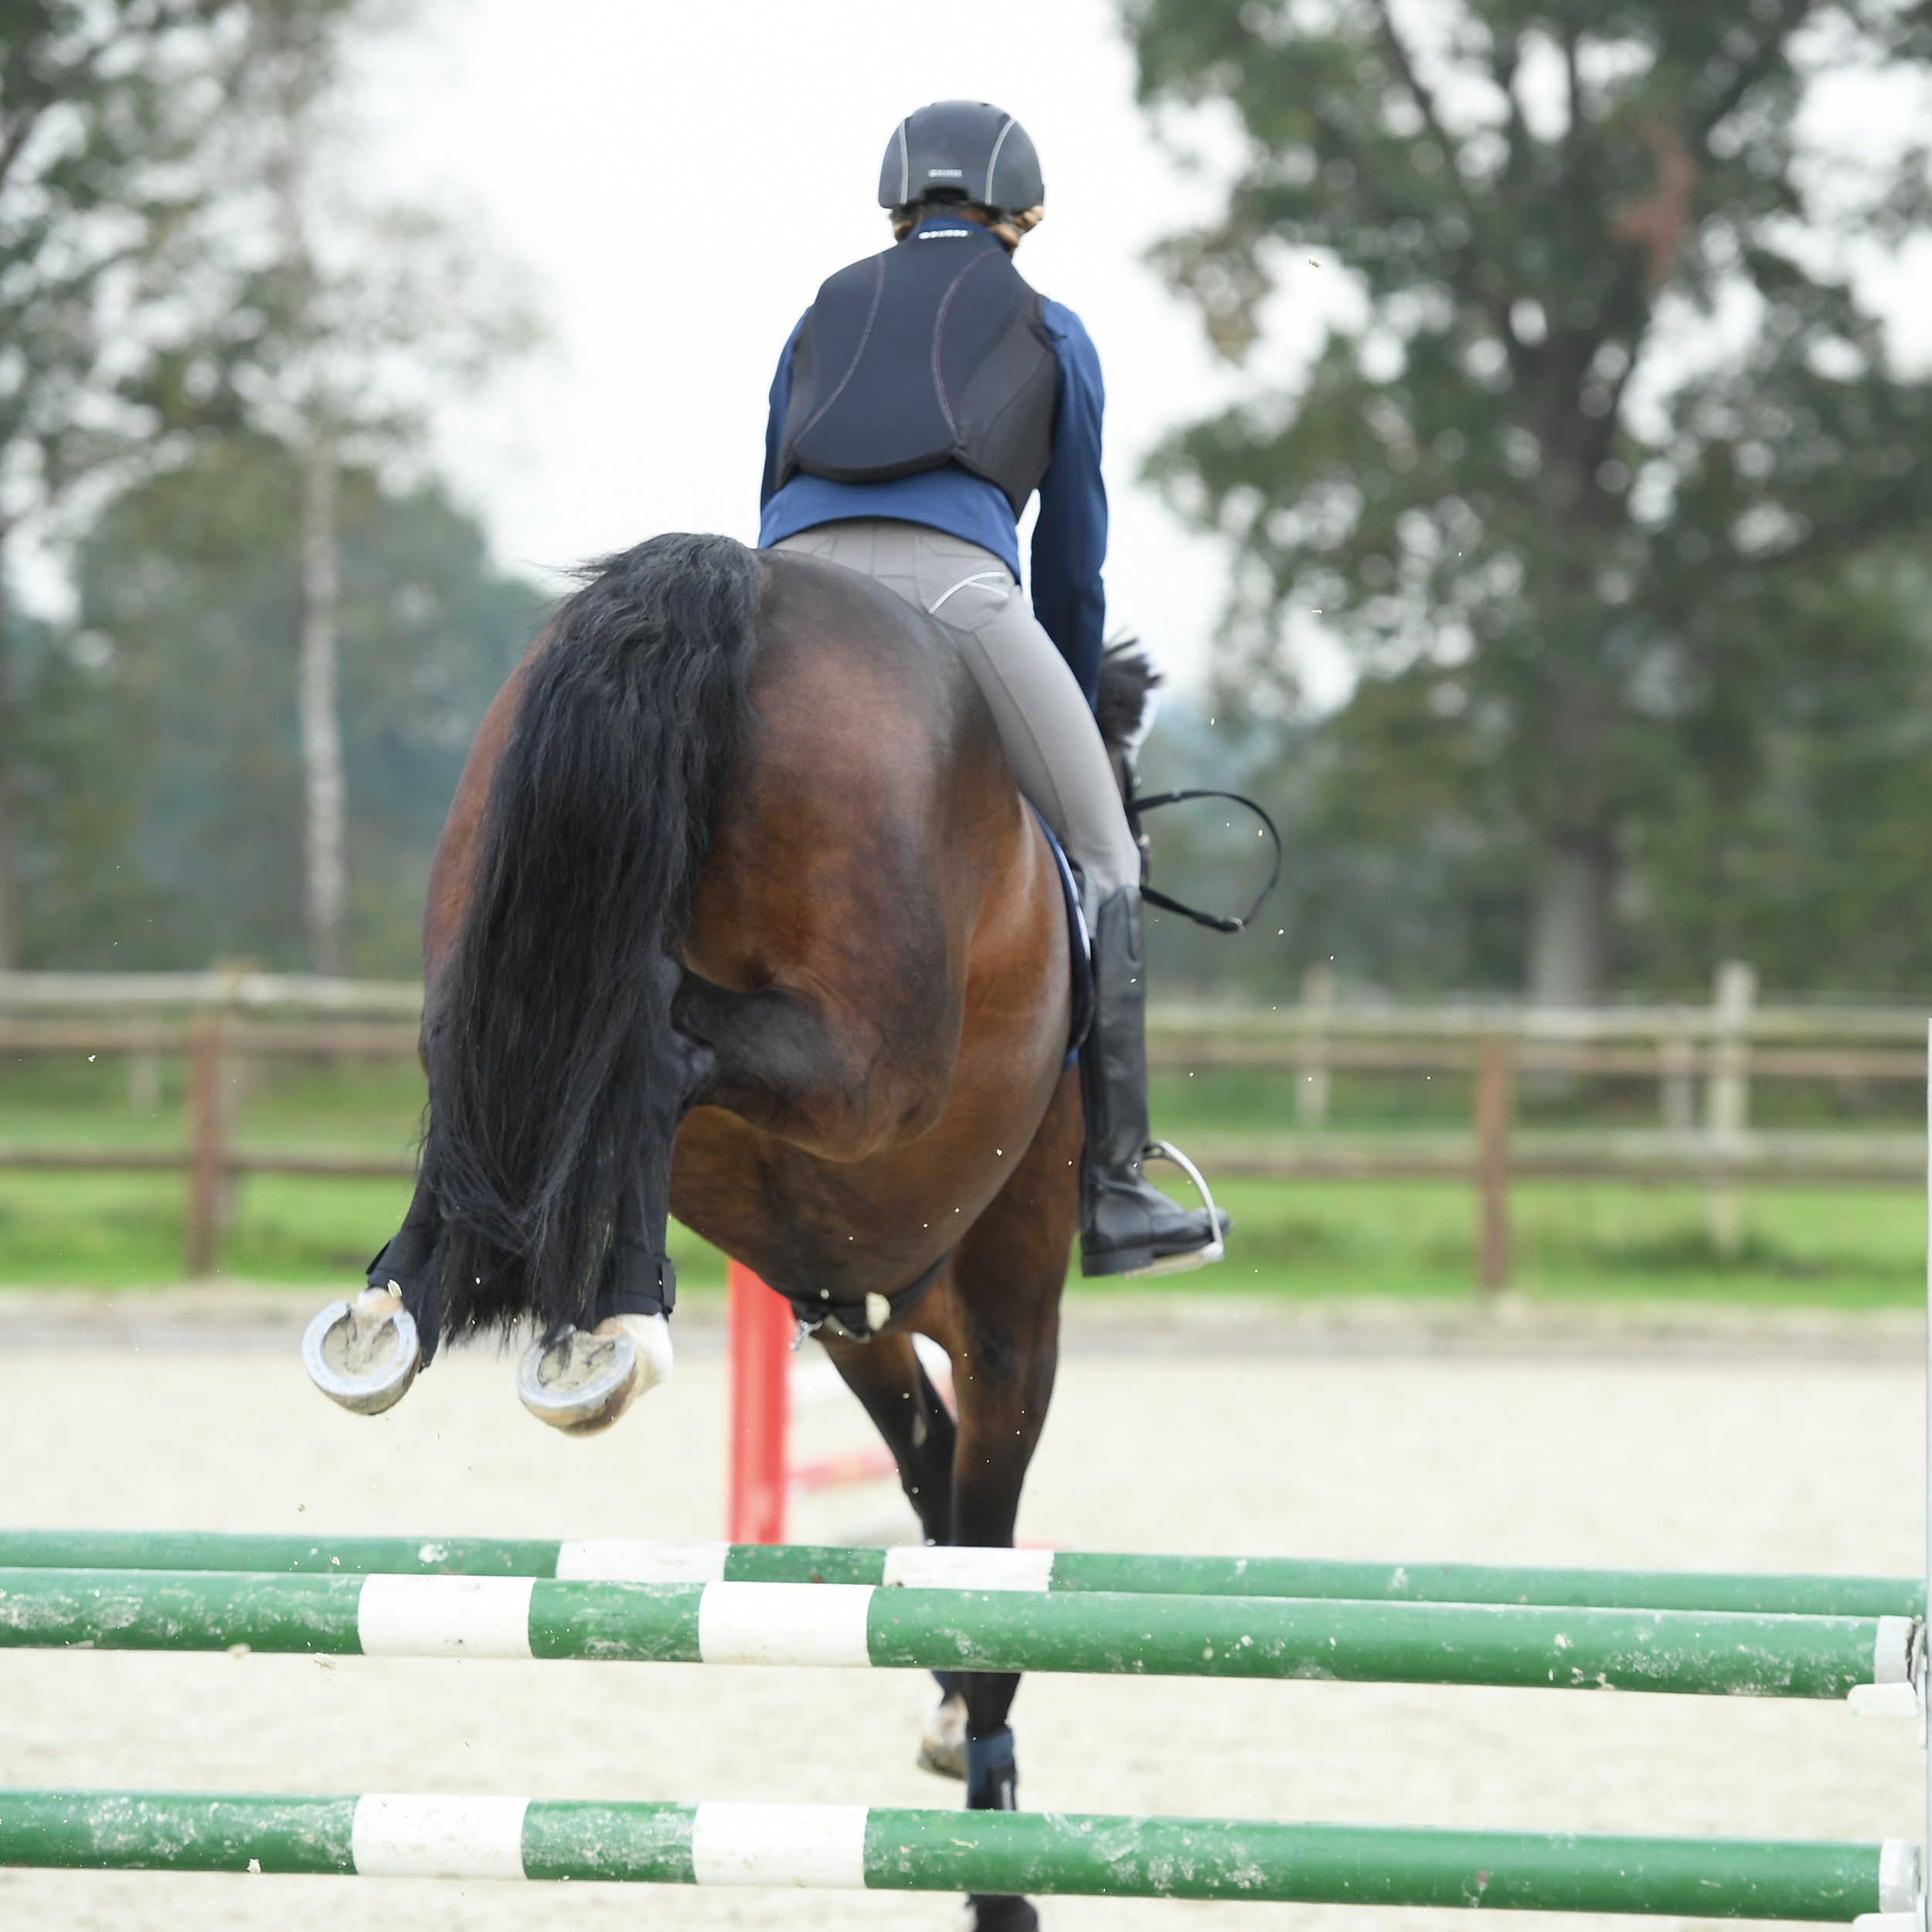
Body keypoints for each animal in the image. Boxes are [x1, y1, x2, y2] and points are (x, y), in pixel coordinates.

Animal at [298, 529, 1144, 1932]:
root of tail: (745, 583)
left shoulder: (857, 1314)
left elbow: (933, 1485)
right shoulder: (1010, 1323)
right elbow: (981, 1542)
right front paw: (989, 1820)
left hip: (504, 902)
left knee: (509, 1037)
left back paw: (410, 1303)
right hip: (864, 1062)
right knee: (660, 1033)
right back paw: (615, 1320)